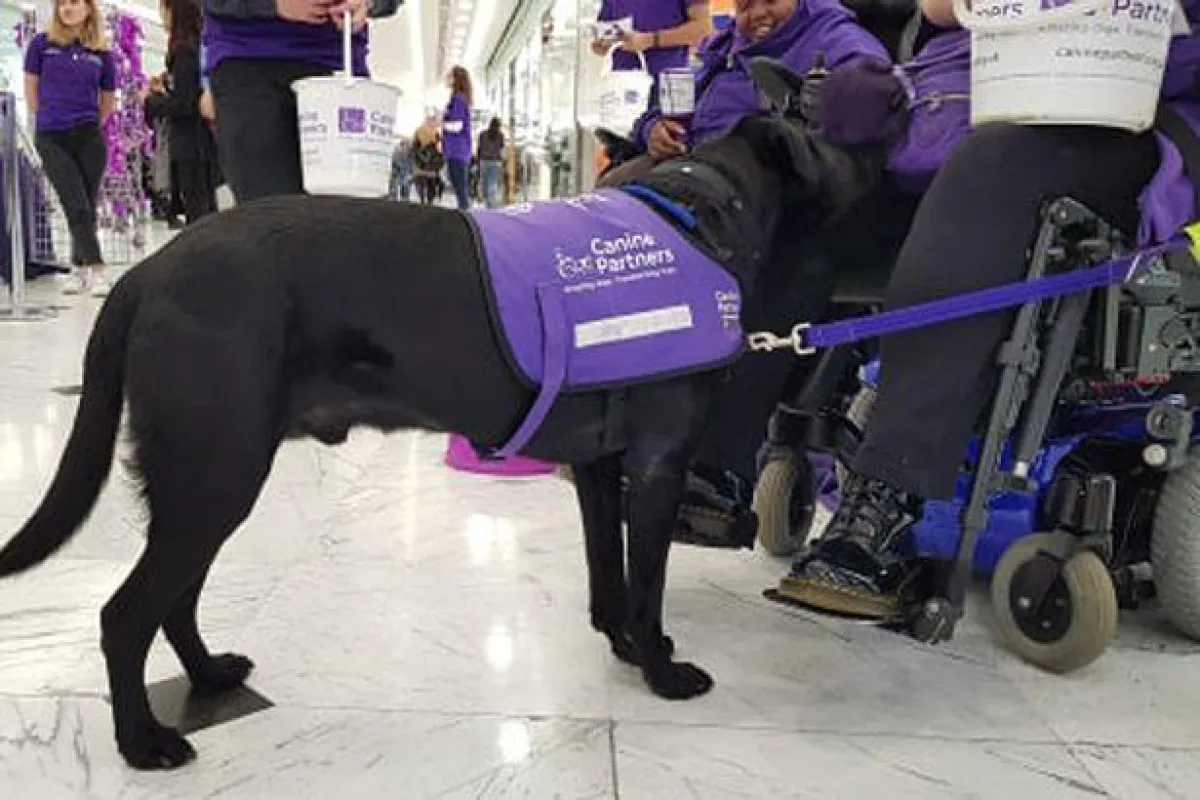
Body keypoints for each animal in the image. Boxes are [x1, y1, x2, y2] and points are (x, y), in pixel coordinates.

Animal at [0, 65, 879, 771]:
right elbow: (645, 587)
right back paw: (141, 741)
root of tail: (146, 273)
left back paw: (210, 673)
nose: (882, 149)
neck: (699, 215)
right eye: (833, 123)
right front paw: (662, 671)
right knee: (125, 616)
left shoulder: (600, 469)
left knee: (175, 601)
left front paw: (629, 652)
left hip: (206, 483)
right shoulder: (658, 465)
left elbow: (610, 579)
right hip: (214, 473)